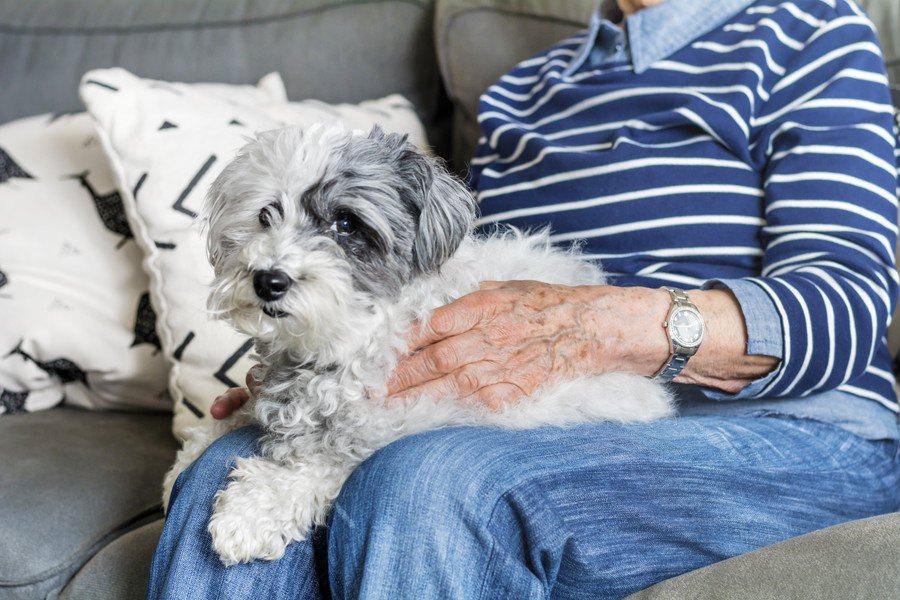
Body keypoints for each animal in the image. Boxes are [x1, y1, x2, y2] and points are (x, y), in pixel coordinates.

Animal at [162, 124, 672, 564]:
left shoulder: (391, 424)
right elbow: (226, 420)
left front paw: (250, 514)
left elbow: (322, 465)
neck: (346, 337)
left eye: (345, 222)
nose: (268, 281)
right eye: (266, 215)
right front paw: (180, 468)